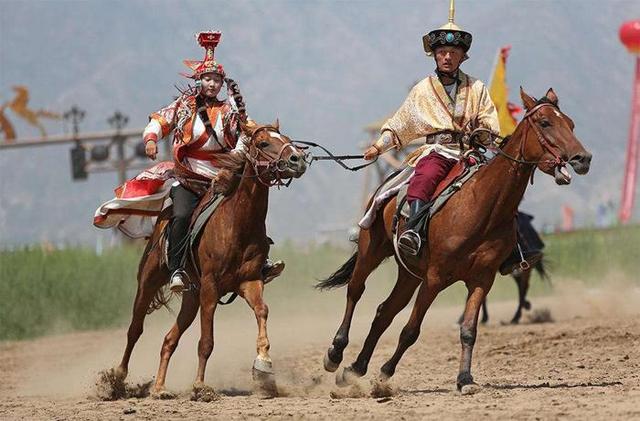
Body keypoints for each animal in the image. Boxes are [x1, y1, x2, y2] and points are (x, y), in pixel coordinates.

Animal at [108, 118, 308, 398]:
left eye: (287, 138)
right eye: (263, 143)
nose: (297, 159)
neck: (238, 224)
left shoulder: (249, 282)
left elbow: (262, 311)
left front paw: (263, 365)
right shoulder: (211, 289)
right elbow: (206, 341)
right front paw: (200, 386)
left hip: (191, 298)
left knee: (169, 340)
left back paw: (159, 388)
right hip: (148, 282)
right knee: (135, 329)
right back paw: (117, 378)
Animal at [318, 87, 592, 392]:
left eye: (570, 124)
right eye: (545, 123)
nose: (582, 158)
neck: (481, 206)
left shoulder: (481, 279)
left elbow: (469, 330)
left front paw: (465, 379)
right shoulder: (434, 278)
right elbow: (411, 330)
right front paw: (385, 373)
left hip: (409, 274)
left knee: (384, 312)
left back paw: (355, 368)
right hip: (371, 250)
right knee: (355, 291)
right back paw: (335, 354)